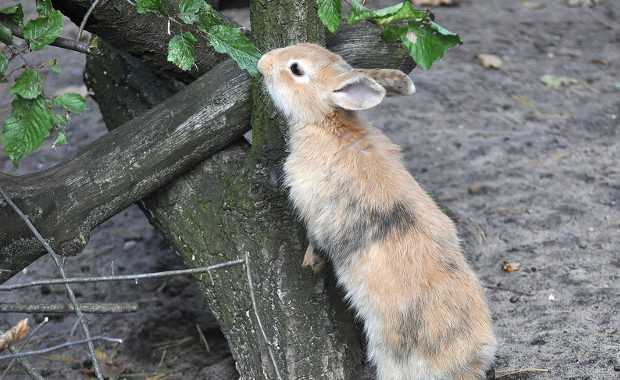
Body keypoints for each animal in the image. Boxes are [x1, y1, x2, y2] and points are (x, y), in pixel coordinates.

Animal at [256, 43, 494, 380]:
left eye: (296, 69)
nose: (262, 63)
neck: (327, 123)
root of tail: (469, 365)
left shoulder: (313, 210)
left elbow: (315, 238)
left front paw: (309, 262)